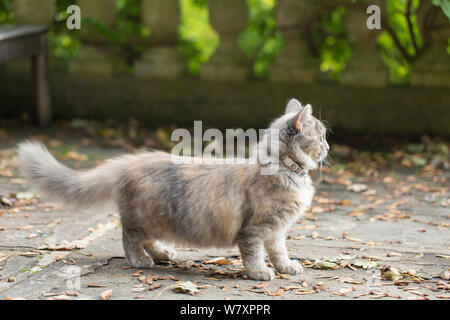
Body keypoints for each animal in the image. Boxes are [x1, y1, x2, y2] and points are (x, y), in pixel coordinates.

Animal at [18, 99, 326, 280]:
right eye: (321, 136)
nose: (327, 148)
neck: (284, 169)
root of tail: (132, 160)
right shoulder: (254, 229)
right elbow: (253, 254)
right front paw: (259, 272)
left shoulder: (277, 230)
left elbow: (279, 252)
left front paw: (286, 266)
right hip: (143, 218)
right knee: (129, 237)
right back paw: (142, 260)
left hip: (158, 220)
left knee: (147, 239)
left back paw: (162, 254)